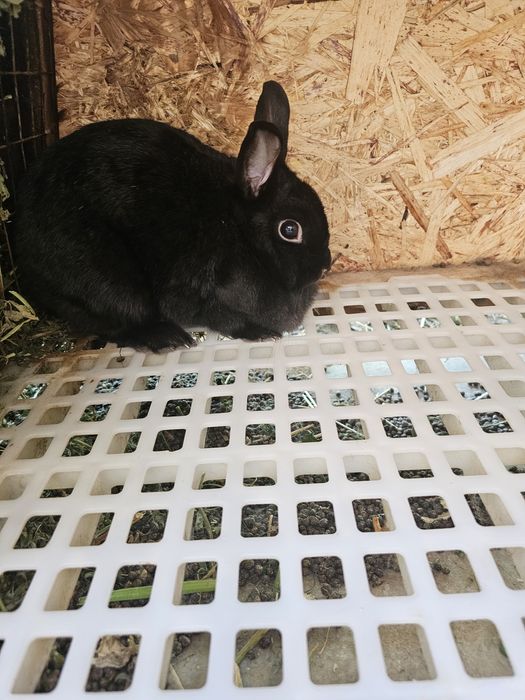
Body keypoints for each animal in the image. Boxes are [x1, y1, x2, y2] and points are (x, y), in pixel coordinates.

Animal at [13, 81, 331, 352]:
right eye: (289, 229)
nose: (325, 266)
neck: (240, 232)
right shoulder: (201, 297)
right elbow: (227, 319)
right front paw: (261, 332)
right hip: (106, 281)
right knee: (119, 323)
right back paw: (169, 338)